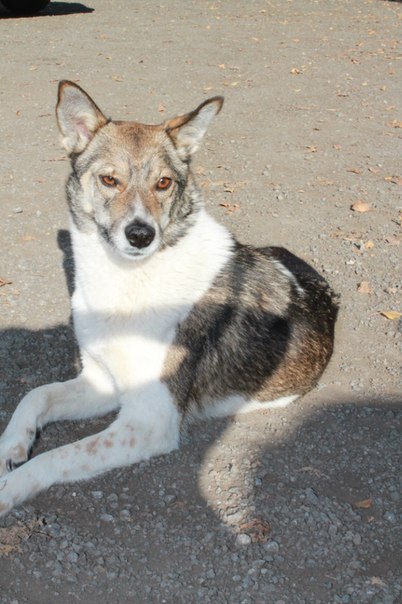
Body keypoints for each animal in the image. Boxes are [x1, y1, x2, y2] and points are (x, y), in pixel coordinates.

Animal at [0, 82, 338, 516]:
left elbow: (55, 456)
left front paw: (8, 488)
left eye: (163, 183)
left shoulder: (148, 421)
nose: (141, 234)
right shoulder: (100, 382)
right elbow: (35, 394)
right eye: (109, 180)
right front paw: (11, 445)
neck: (127, 281)